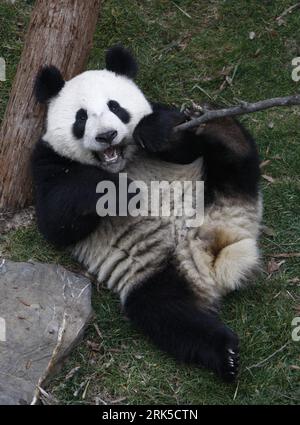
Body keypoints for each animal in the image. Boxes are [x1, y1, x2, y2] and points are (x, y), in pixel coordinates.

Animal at [31, 45, 262, 380]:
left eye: (116, 107)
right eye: (81, 117)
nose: (107, 135)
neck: (119, 163)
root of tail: (209, 254)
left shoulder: (162, 123)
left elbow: (179, 142)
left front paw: (154, 131)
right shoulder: (46, 159)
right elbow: (55, 219)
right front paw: (118, 192)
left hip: (213, 189)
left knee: (235, 156)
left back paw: (220, 127)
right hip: (156, 272)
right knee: (169, 316)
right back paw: (225, 353)